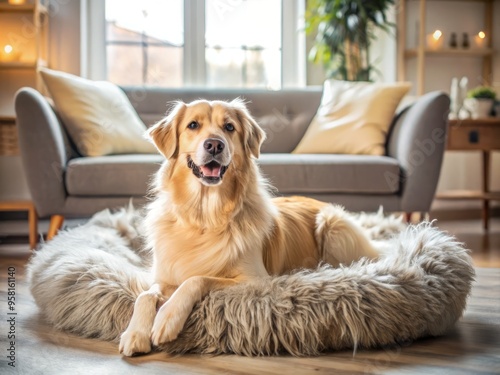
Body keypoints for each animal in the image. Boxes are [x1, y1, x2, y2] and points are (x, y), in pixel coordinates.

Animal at [120, 98, 378, 356]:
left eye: (229, 127)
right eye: (193, 125)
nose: (214, 145)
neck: (205, 217)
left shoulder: (256, 280)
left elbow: (196, 279)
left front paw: (167, 317)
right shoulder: (163, 276)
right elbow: (144, 295)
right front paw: (135, 333)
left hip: (332, 225)